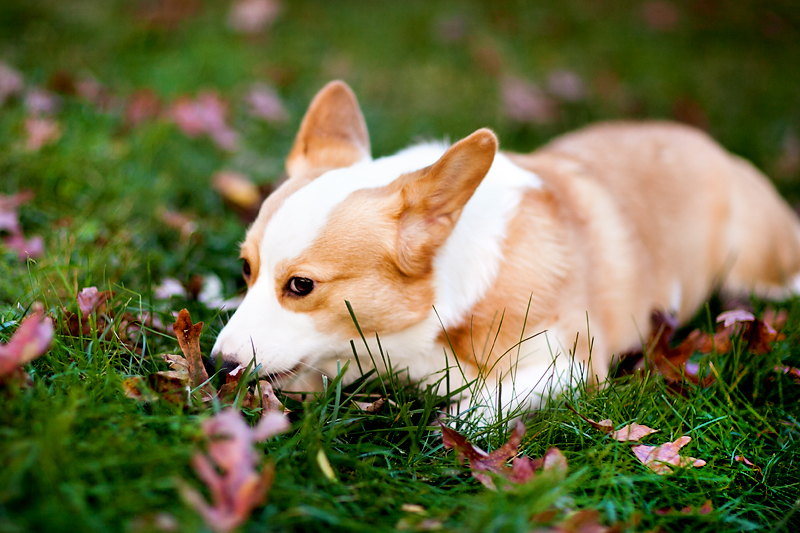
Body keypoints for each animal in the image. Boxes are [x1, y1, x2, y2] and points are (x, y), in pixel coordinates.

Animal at [211, 81, 800, 416]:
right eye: (245, 269)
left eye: (301, 285)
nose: (217, 366)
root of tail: (713, 146)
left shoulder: (568, 364)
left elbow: (477, 405)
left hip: (755, 273)